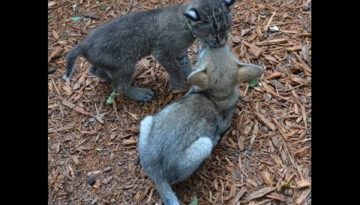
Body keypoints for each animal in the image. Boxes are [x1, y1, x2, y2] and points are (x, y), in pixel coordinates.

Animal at [62, 0, 236, 102]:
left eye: (227, 28)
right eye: (214, 33)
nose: (222, 42)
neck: (185, 24)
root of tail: (84, 44)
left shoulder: (180, 52)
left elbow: (185, 64)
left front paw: (190, 75)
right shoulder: (161, 52)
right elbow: (174, 69)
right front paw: (179, 84)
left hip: (111, 63)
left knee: (94, 69)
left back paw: (107, 78)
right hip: (126, 64)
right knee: (119, 86)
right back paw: (141, 94)